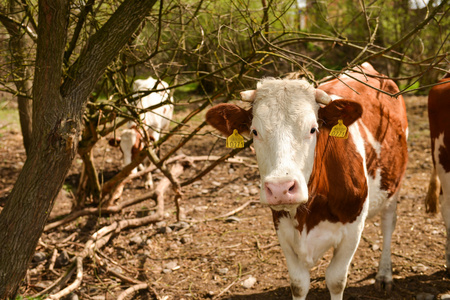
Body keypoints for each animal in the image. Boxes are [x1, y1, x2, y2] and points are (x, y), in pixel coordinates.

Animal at [206, 62, 410, 298]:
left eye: (313, 129)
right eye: (255, 131)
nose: (280, 188)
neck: (308, 213)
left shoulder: (353, 228)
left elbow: (336, 280)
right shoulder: (282, 227)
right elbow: (298, 283)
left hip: (393, 184)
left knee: (388, 224)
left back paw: (384, 275)